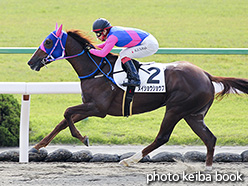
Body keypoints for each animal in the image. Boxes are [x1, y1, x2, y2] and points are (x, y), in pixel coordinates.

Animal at [27, 25, 248, 170]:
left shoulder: (98, 108)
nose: (31, 62)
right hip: (193, 114)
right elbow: (63, 121)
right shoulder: (89, 105)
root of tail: (206, 75)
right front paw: (37, 147)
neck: (96, 69)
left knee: (162, 137)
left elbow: (67, 113)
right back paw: (207, 168)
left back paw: (129, 160)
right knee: (209, 138)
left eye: (48, 42)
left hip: (176, 109)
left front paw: (83, 138)